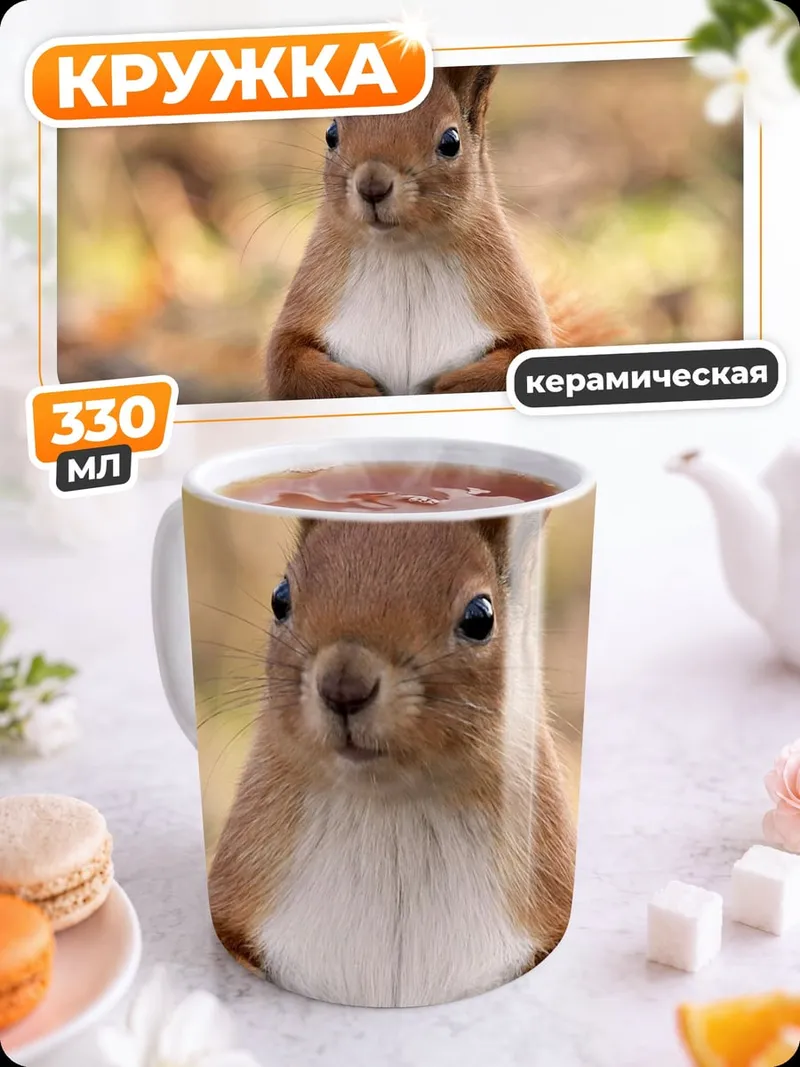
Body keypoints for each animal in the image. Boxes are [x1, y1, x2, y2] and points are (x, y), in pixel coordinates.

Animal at [265, 64, 616, 402]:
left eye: (451, 141)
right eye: (331, 133)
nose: (372, 186)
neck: (403, 257)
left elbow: (524, 349)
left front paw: (455, 387)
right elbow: (284, 359)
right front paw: (348, 386)